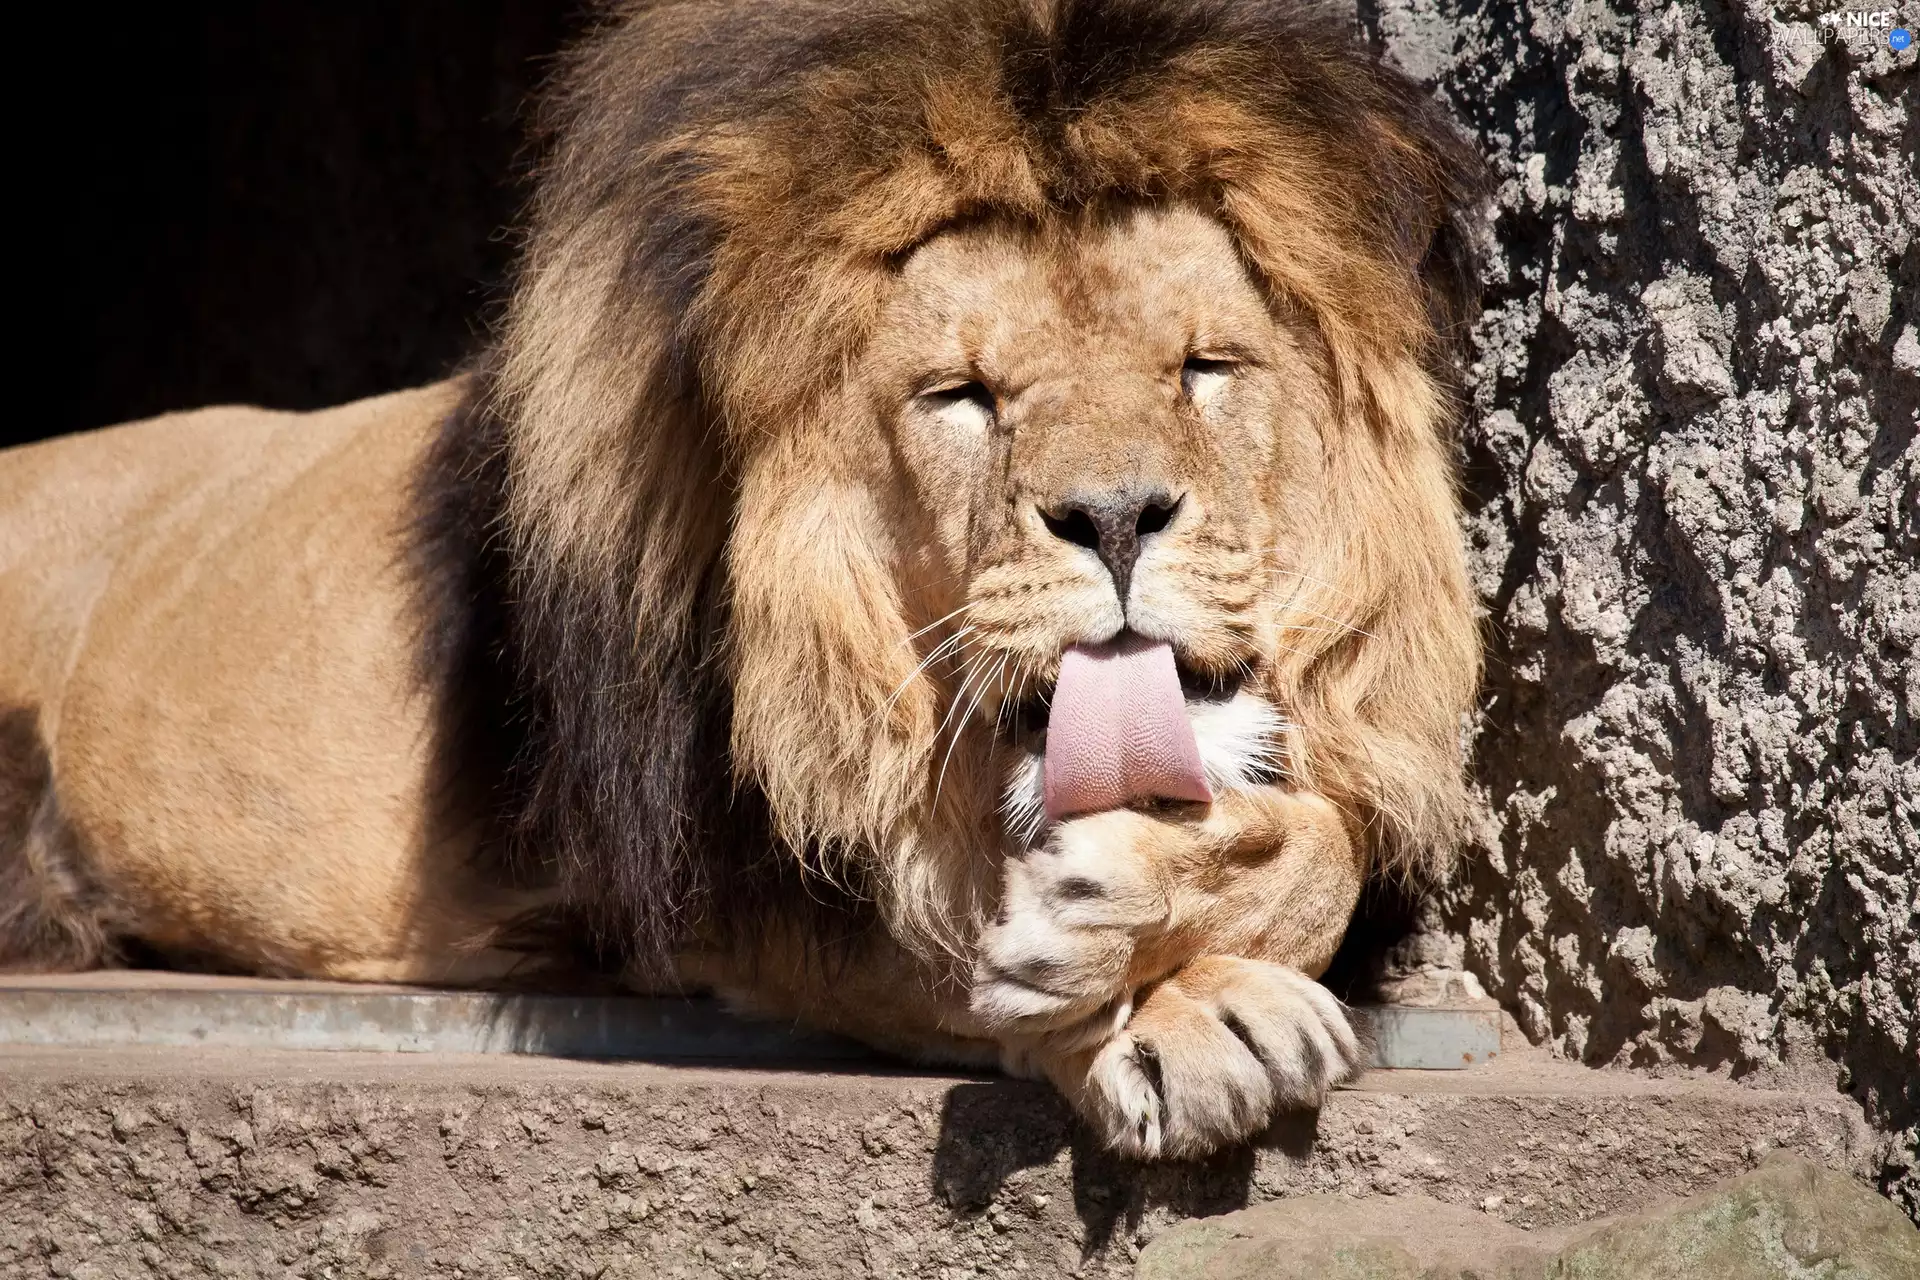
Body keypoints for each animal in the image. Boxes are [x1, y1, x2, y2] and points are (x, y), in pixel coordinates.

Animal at [0, 0, 1484, 1159]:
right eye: (960, 395)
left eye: (1206, 366)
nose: (1116, 517)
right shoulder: (703, 884)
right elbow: (938, 931)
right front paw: (1176, 999)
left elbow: (1323, 841)